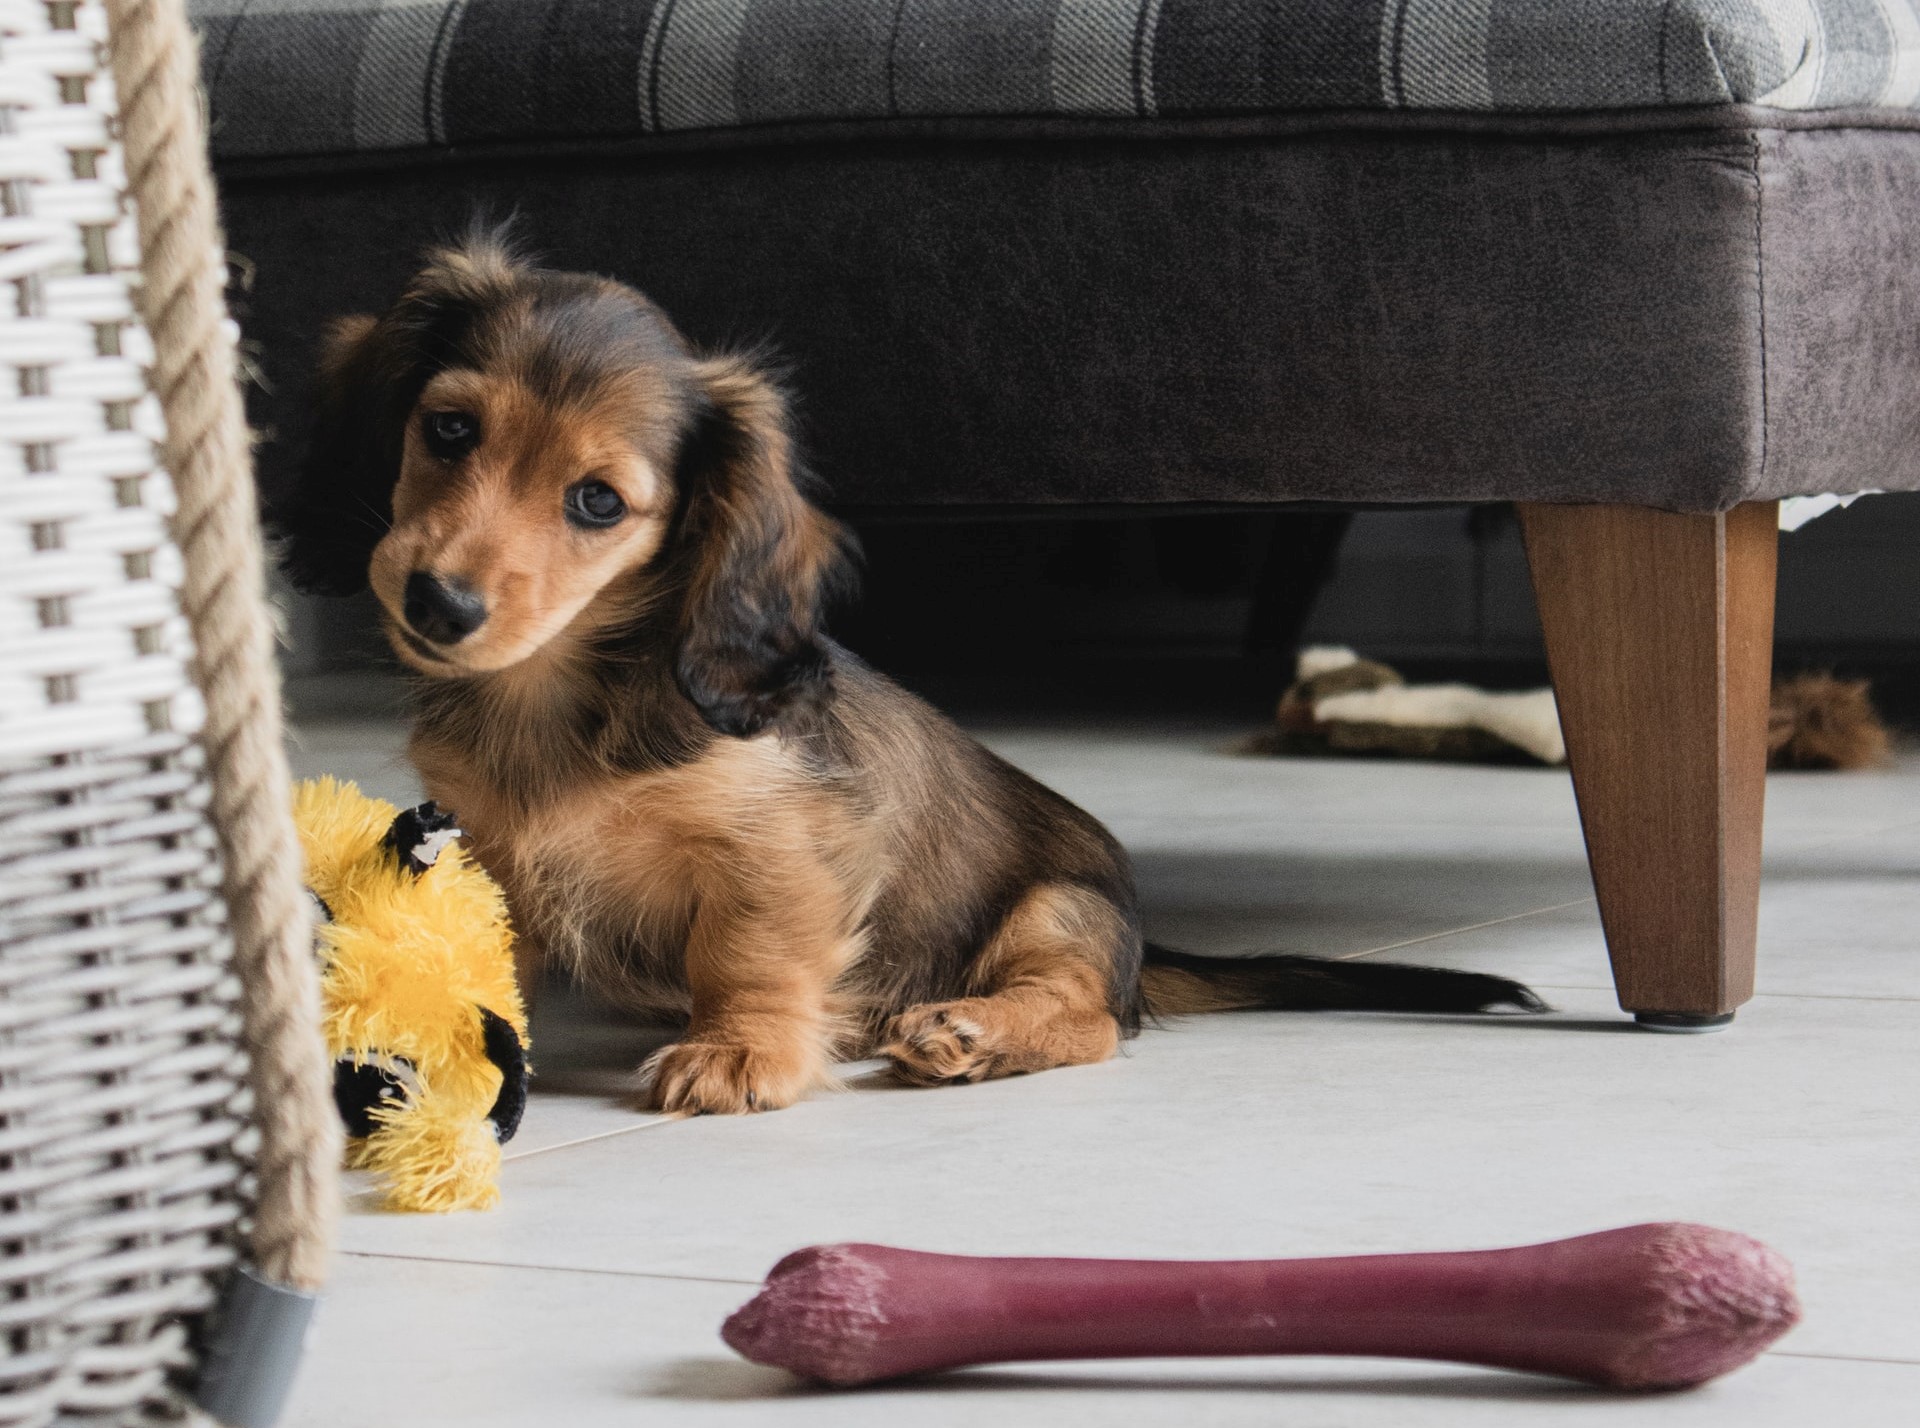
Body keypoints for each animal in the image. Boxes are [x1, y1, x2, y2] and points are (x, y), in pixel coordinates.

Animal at [278, 231, 1543, 1113]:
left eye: (597, 502)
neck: (564, 696)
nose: (436, 603)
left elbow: (750, 950)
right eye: (448, 430)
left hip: (1055, 910)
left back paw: (974, 1034)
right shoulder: (487, 849)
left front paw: (741, 1047)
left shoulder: (783, 843)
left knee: (1092, 1020)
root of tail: (1144, 948)